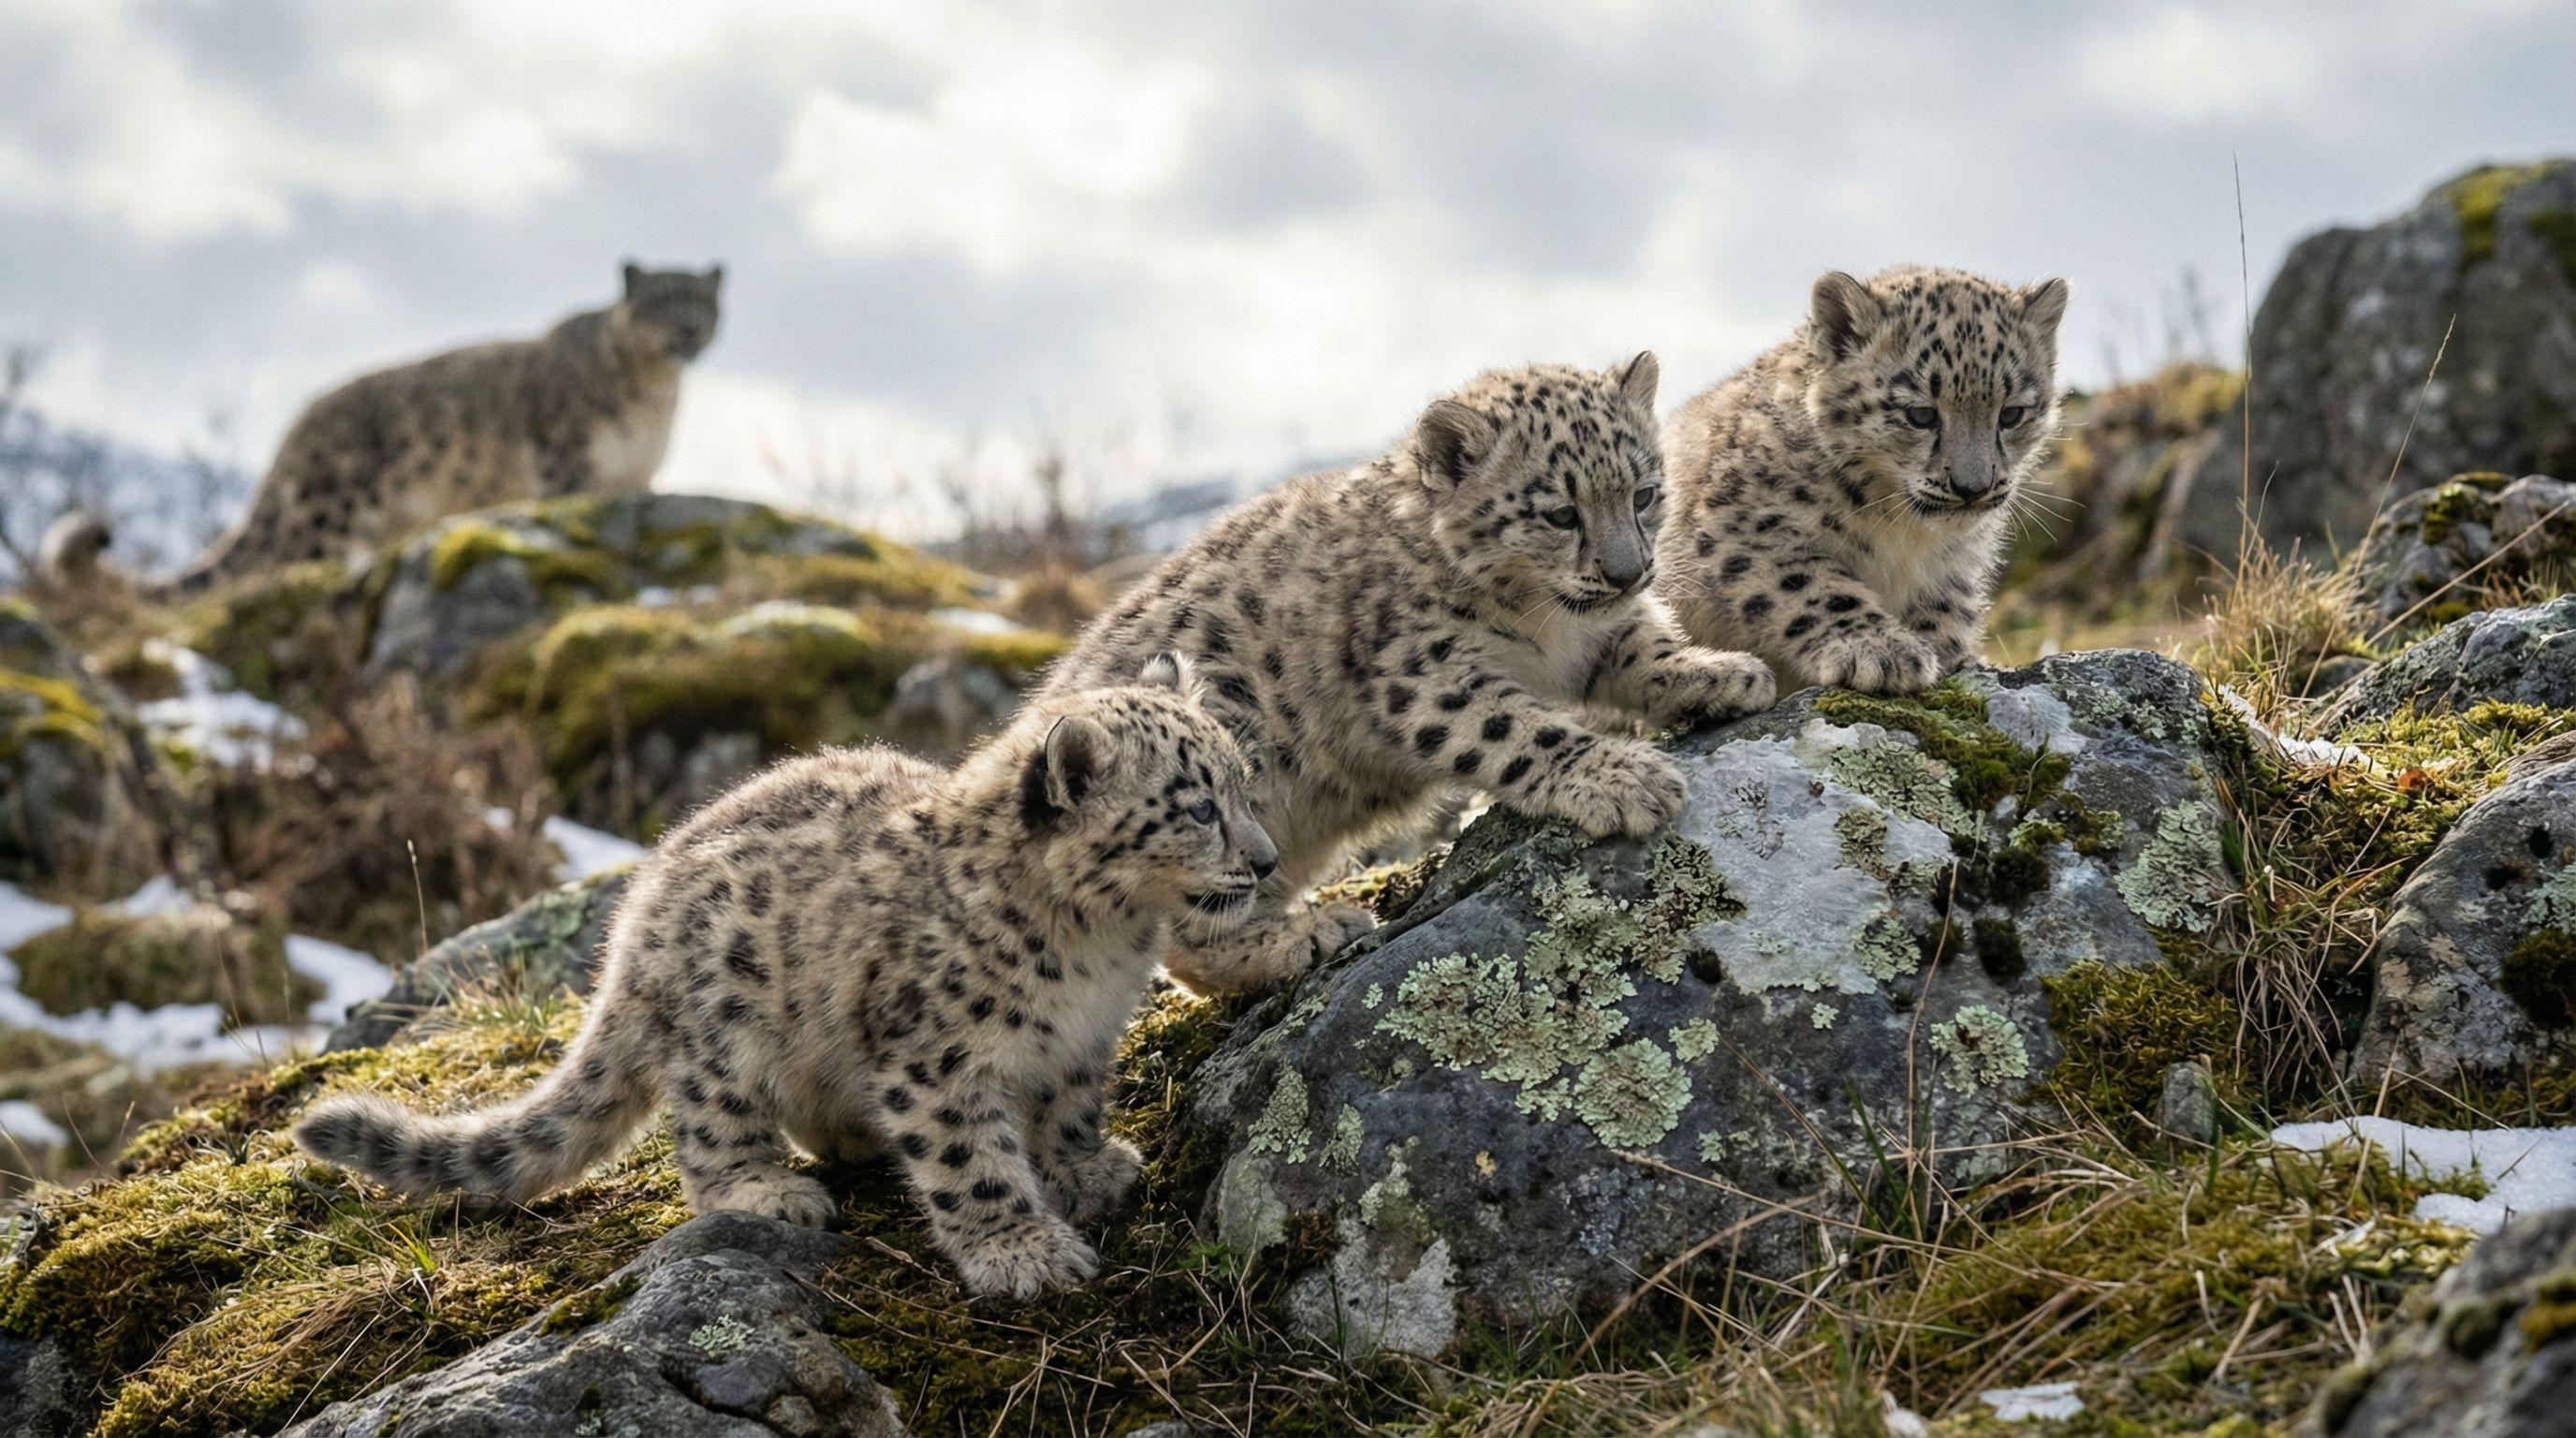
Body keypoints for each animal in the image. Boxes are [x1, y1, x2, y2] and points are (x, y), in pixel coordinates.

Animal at [41, 262, 721, 596]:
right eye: (661, 300)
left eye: (702, 302)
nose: (688, 330)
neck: (657, 396)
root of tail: (296, 428)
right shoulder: (570, 466)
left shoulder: (636, 476)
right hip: (326, 515)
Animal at [294, 654, 1271, 1299]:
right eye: (1197, 808)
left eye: (1244, 782)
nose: (1265, 861)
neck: (1102, 949)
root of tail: (635, 923)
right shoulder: (938, 1057)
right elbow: (969, 1158)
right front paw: (1021, 1249)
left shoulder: (1080, 1041)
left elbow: (1067, 1108)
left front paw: (1081, 1171)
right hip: (725, 1030)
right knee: (707, 1128)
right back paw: (766, 1190)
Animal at [1039, 355, 1777, 995]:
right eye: (1561, 512)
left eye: (1645, 493)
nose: (1629, 573)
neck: (1544, 626)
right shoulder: (1423, 675)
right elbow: (1519, 730)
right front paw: (1623, 777)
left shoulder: (1598, 637)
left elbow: (1643, 646)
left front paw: (1721, 673)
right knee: (1186, 937)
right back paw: (1304, 936)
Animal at [1656, 265, 2070, 695]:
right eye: (1921, 414)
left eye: (2011, 414)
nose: (1972, 488)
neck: (1904, 534)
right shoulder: (1749, 532)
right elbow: (1814, 586)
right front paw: (1879, 650)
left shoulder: (1954, 563)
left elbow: (1946, 603)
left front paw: (1952, 654)